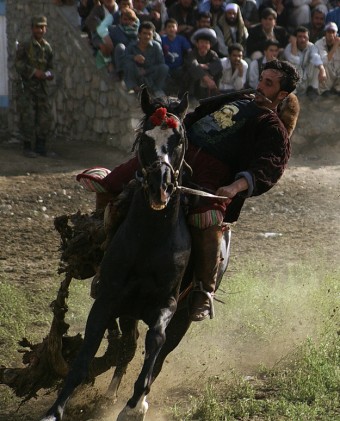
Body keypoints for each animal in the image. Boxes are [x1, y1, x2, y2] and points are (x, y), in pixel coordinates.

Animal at [40, 87, 231, 418]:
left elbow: (155, 345)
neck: (150, 240)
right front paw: (55, 410)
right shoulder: (108, 299)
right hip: (129, 311)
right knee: (128, 348)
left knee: (160, 354)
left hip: (183, 316)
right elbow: (85, 356)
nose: (159, 187)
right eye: (144, 138)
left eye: (178, 140)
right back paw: (109, 394)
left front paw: (133, 407)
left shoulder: (166, 305)